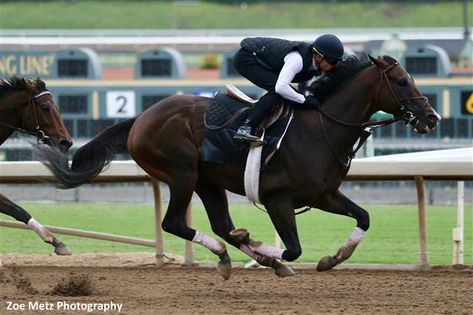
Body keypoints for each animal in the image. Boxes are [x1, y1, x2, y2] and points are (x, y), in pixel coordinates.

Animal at [38, 56, 440, 278]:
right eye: (401, 81)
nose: (431, 117)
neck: (320, 128)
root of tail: (140, 118)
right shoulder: (278, 199)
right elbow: (292, 249)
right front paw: (270, 255)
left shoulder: (324, 194)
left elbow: (364, 217)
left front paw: (333, 258)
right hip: (181, 174)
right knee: (175, 223)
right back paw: (236, 250)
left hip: (207, 181)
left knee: (221, 225)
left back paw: (232, 250)